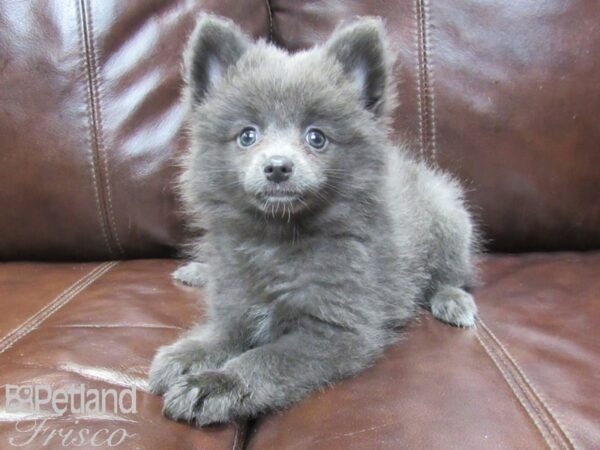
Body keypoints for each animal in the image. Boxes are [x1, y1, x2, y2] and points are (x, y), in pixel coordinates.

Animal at [149, 14, 478, 428]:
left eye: (316, 137)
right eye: (247, 135)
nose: (277, 166)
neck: (275, 241)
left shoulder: (337, 330)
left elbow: (265, 359)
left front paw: (215, 384)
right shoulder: (236, 302)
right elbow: (222, 334)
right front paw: (188, 354)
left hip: (449, 217)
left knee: (451, 275)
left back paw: (453, 300)